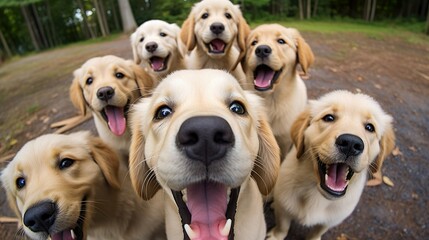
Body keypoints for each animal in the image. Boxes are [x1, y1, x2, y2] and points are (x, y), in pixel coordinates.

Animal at [268, 90, 394, 240]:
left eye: (370, 127)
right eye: (329, 118)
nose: (351, 143)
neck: (317, 194)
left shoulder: (330, 220)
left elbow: (317, 232)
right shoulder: (284, 208)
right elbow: (282, 227)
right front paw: (276, 236)